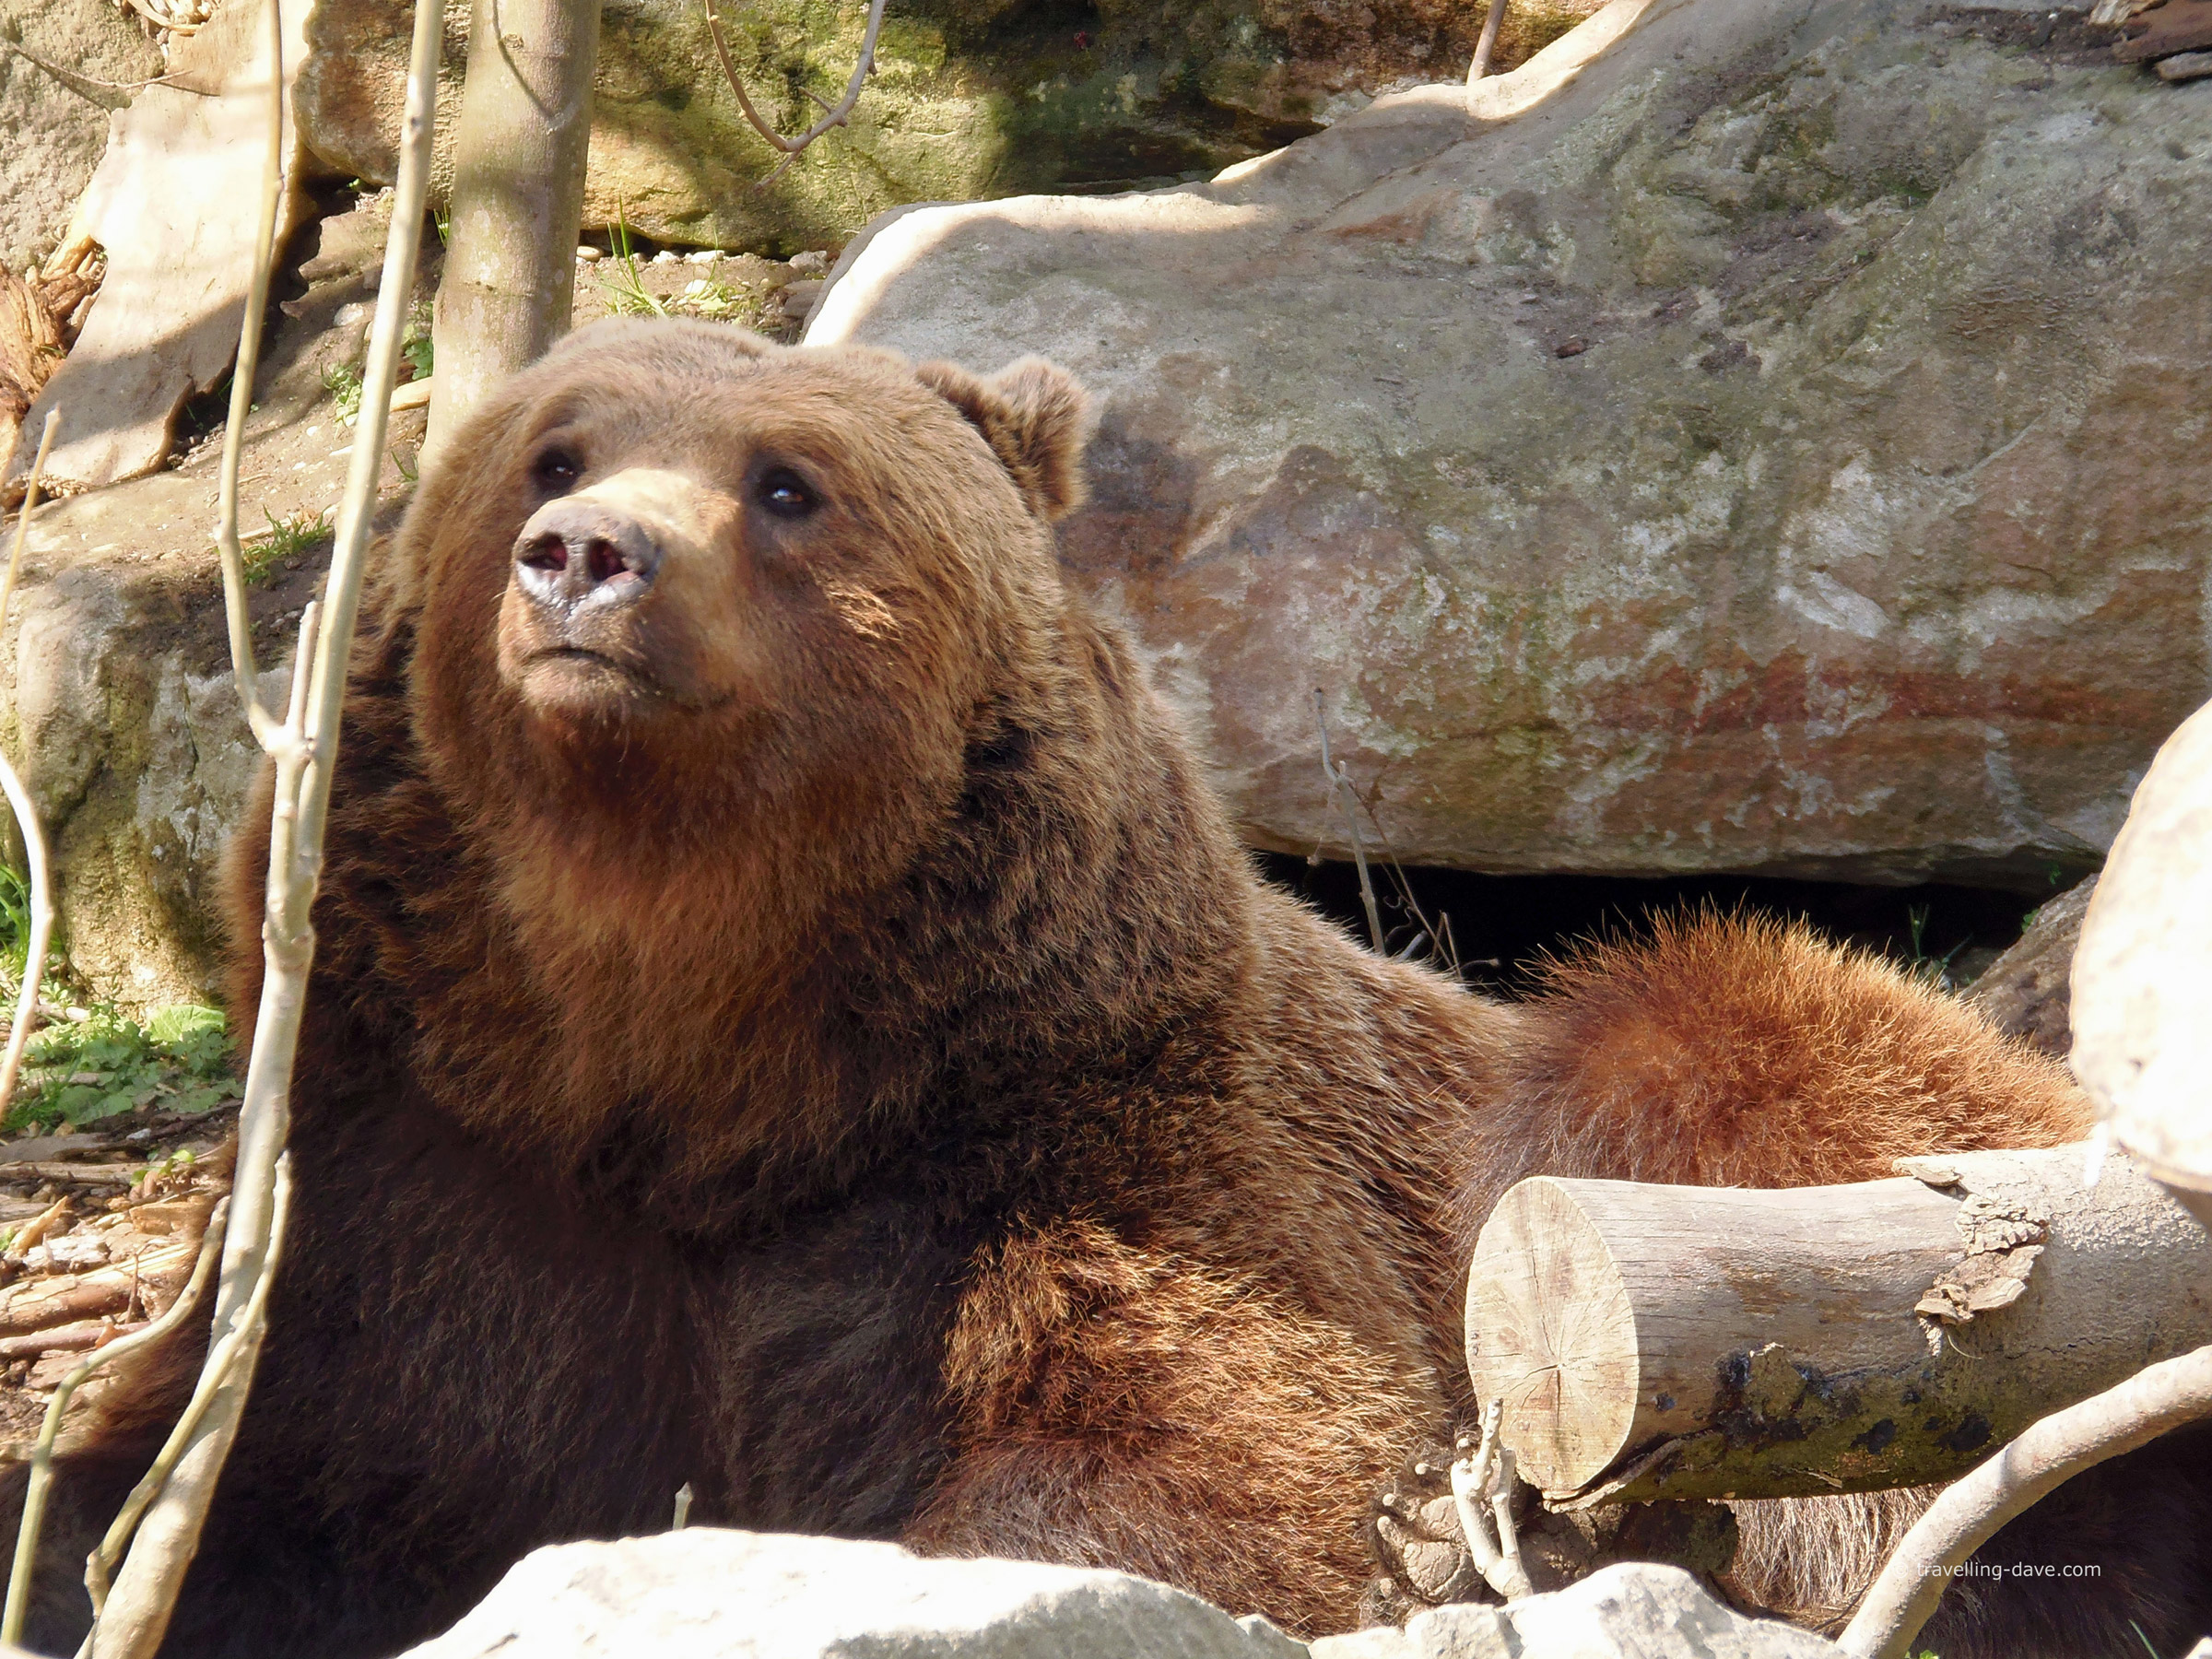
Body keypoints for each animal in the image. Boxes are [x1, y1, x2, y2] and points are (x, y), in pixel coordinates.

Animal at [3, 319, 2206, 1658]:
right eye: (550, 446)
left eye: (788, 481)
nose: (586, 556)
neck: (701, 1052)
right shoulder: (440, 1197)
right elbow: (238, 1495)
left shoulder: (1077, 1151)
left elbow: (1210, 1480)